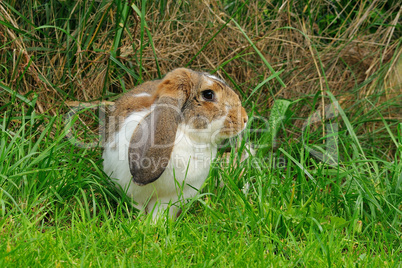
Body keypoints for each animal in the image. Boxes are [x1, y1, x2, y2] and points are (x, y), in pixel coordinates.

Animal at [103, 68, 248, 221]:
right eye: (208, 94)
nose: (245, 118)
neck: (184, 131)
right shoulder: (131, 193)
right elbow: (138, 208)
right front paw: (142, 222)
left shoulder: (174, 195)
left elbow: (161, 211)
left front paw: (156, 223)